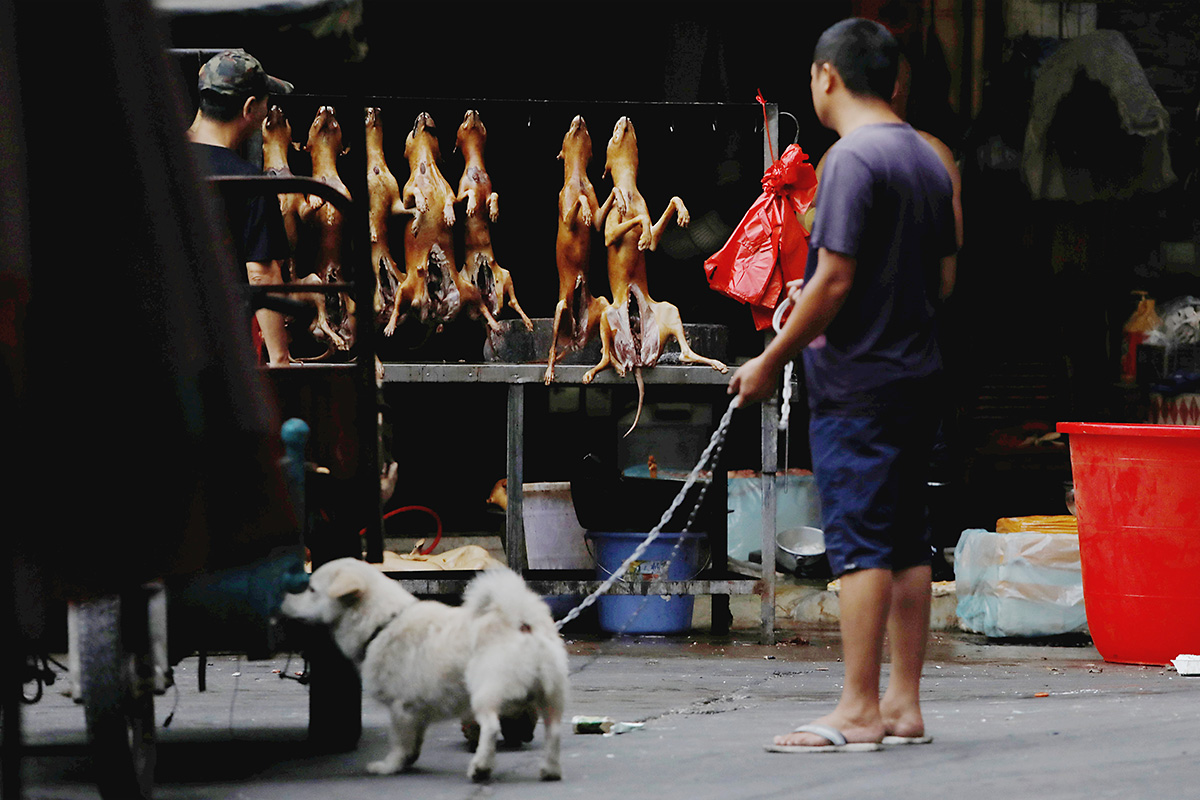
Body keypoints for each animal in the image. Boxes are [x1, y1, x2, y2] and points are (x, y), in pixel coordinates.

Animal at [280, 556, 566, 782]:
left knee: (492, 728)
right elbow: (413, 743)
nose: (282, 598)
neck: (382, 624)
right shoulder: (417, 712)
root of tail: (522, 622)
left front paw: (389, 766)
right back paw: (550, 770)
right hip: (550, 696)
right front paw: (407, 761)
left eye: (311, 589)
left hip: (485, 692)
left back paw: (481, 768)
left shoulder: (400, 708)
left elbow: (399, 741)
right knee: (553, 732)